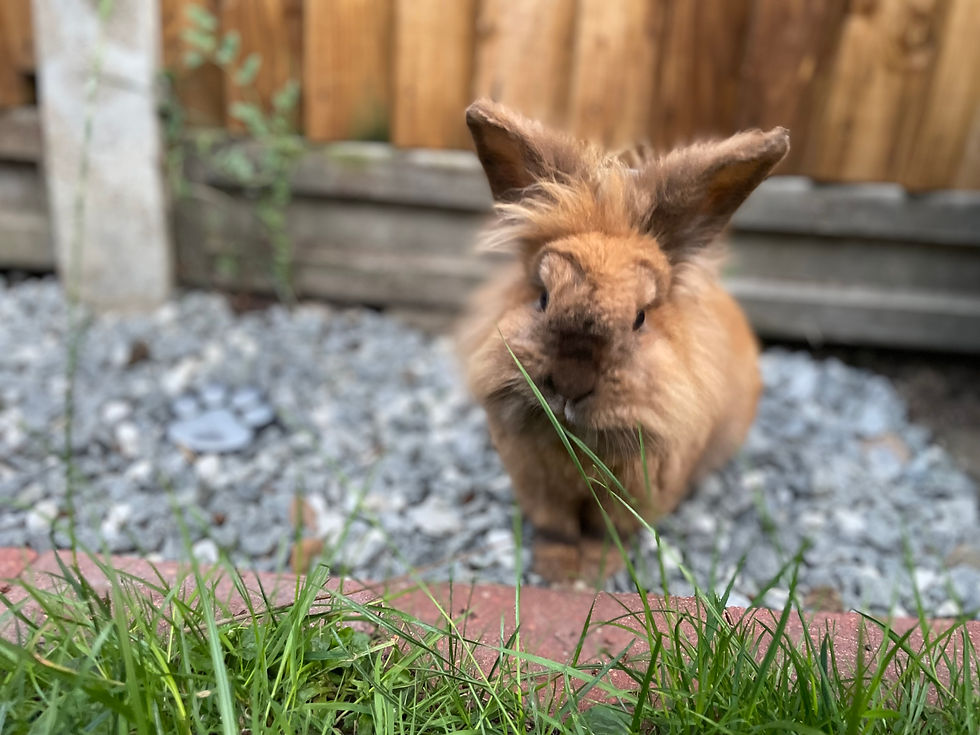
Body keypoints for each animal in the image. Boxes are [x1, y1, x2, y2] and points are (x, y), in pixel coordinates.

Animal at [458, 99, 789, 584]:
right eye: (542, 298)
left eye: (640, 318)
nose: (570, 384)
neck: (577, 442)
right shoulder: (537, 486)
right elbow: (557, 529)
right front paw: (557, 571)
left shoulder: (636, 495)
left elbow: (605, 533)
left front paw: (596, 573)